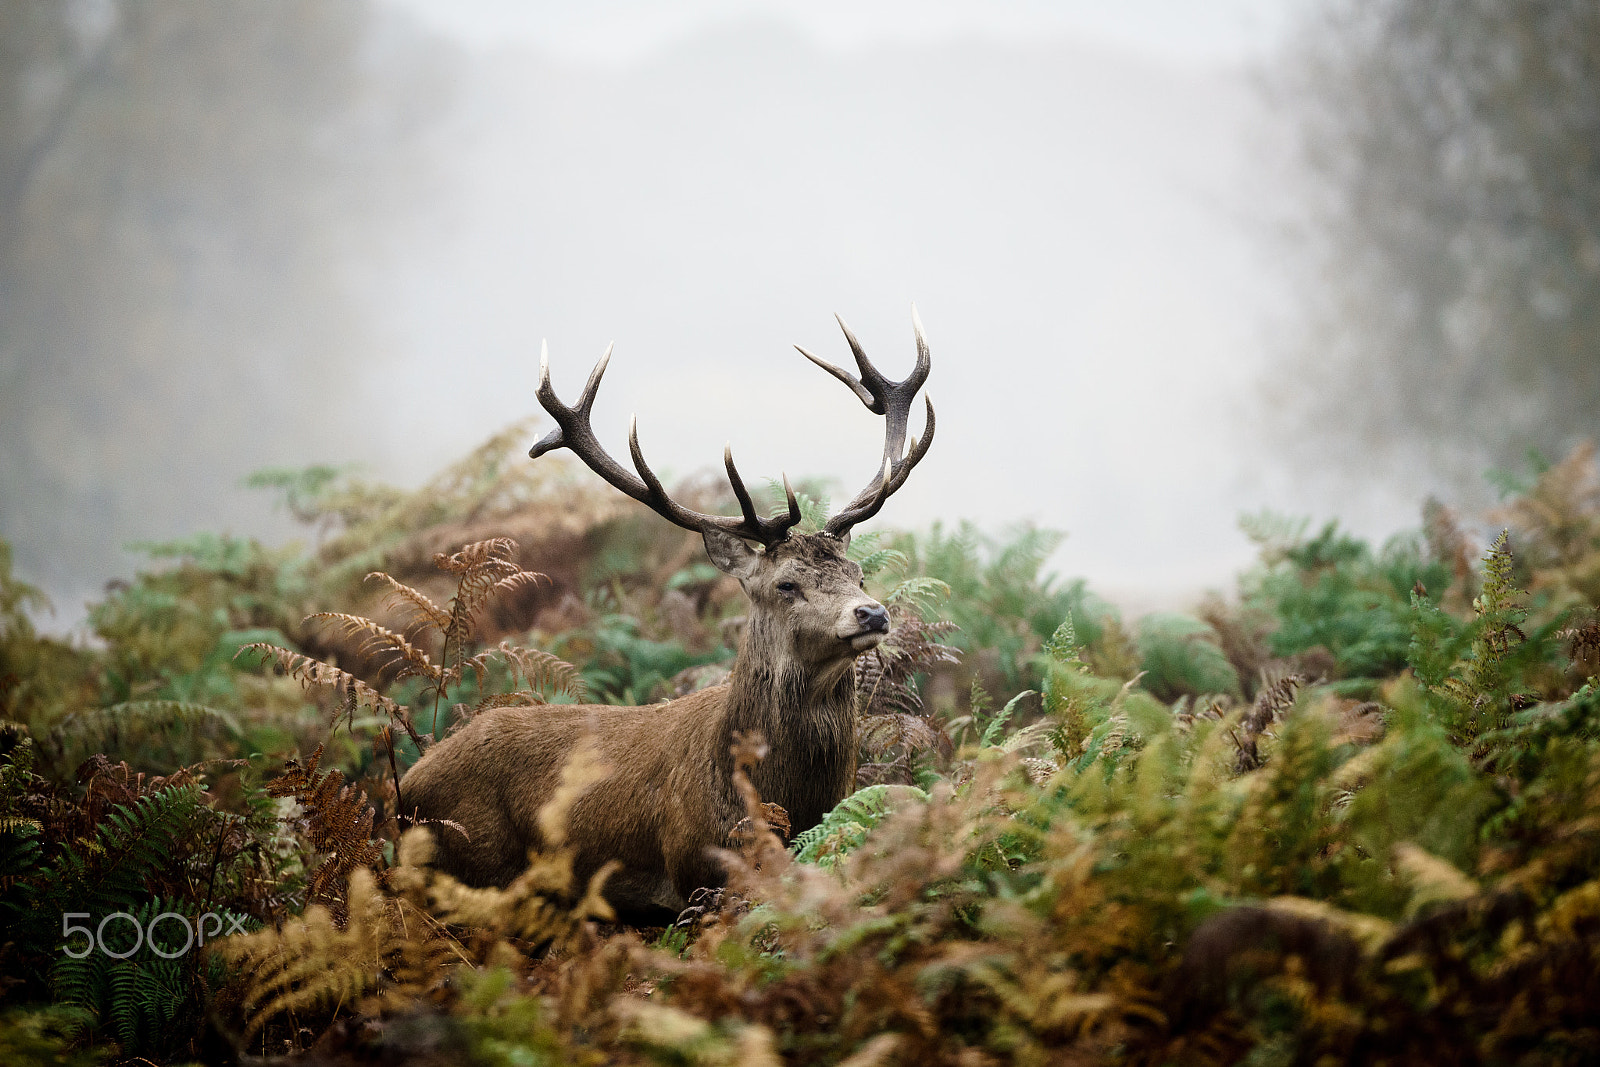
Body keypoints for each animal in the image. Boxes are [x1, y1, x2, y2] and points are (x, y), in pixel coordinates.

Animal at [400, 312, 935, 924]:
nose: (872, 613)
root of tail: (404, 786)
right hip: (477, 854)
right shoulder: (694, 871)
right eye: (786, 584)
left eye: (858, 574)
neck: (788, 800)